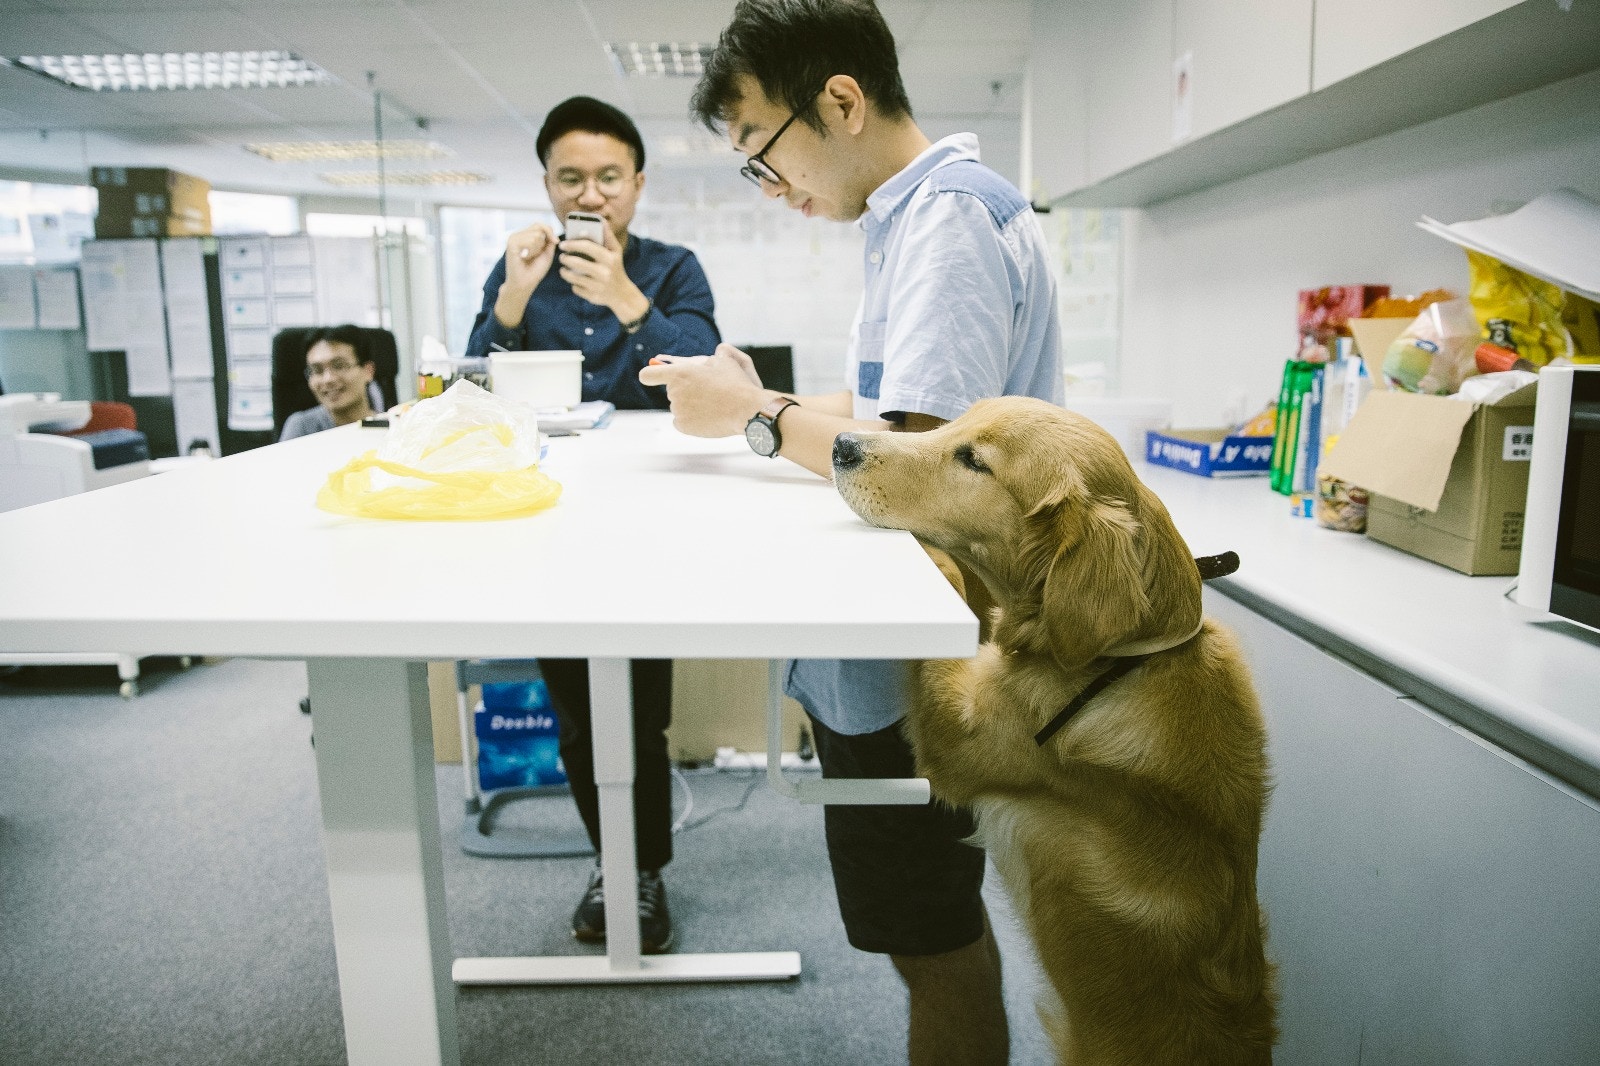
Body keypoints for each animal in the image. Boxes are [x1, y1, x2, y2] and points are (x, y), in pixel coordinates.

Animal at [838, 393, 1273, 1056]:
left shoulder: (958, 736)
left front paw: (927, 552)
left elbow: (946, 577)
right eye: (955, 424)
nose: (841, 445)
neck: (1122, 660)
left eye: (974, 460)